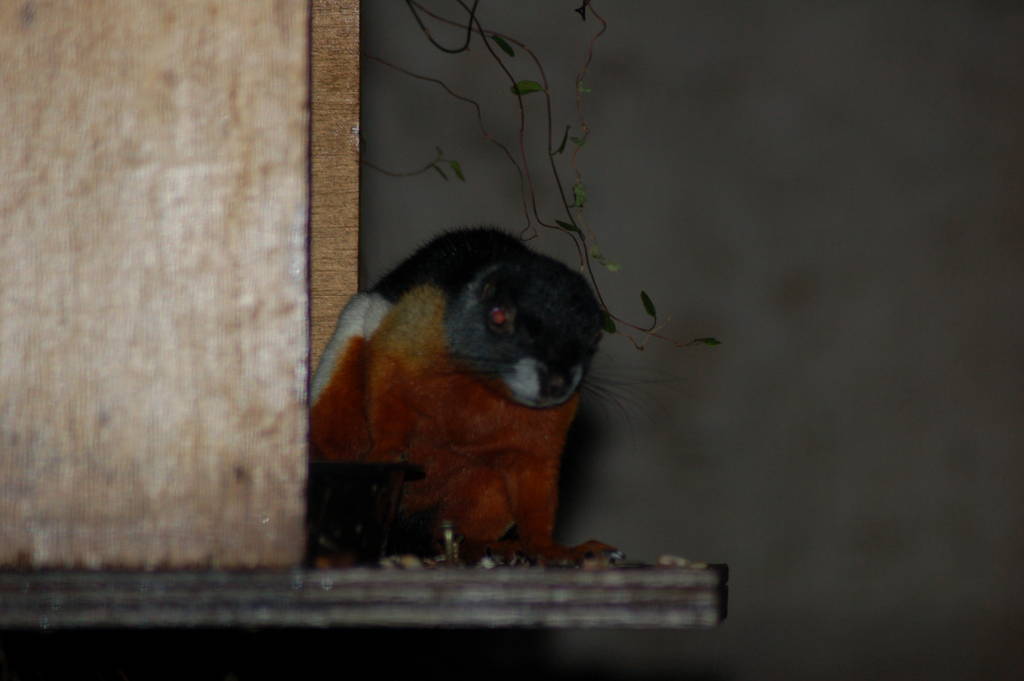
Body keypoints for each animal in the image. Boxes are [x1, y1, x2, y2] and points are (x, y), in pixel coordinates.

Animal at [310, 227, 620, 565]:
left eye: (594, 338)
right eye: (499, 318)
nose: (557, 382)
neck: (484, 385)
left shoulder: (551, 419)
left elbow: (534, 473)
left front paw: (549, 549)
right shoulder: (415, 327)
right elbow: (387, 379)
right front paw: (387, 449)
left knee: (453, 525)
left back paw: (480, 546)